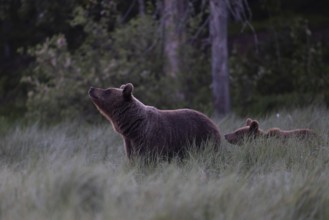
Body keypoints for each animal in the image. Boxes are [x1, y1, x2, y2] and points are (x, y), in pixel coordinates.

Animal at [88, 83, 220, 161]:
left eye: (107, 91)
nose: (91, 88)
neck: (134, 127)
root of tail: (213, 122)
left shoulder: (152, 138)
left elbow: (150, 158)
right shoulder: (130, 143)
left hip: (203, 138)